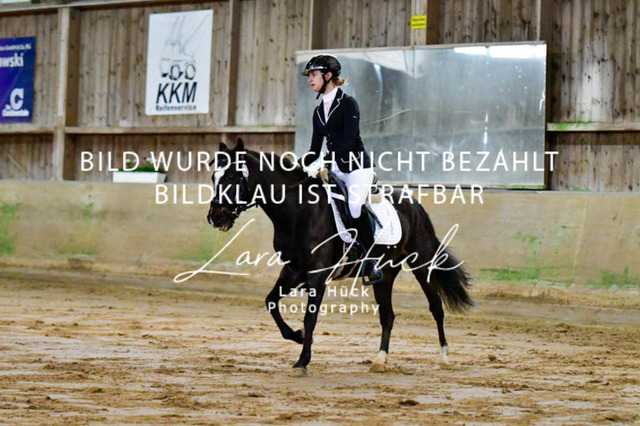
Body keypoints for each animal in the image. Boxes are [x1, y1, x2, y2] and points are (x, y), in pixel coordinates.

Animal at [207, 139, 472, 376]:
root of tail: (415, 204)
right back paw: (380, 361)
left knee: (436, 307)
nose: (215, 217)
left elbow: (310, 317)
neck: (299, 210)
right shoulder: (293, 271)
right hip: (385, 275)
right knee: (388, 316)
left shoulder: (318, 274)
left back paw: (444, 357)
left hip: (422, 264)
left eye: (233, 177)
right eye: (213, 177)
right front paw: (297, 337)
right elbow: (271, 302)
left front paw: (302, 361)